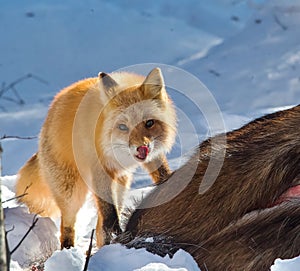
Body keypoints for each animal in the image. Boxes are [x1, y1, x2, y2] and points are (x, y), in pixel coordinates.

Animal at [15, 67, 177, 249]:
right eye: (123, 127)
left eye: (149, 123)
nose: (142, 147)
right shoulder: (99, 166)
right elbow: (109, 213)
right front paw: (116, 232)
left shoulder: (151, 157)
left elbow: (162, 173)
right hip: (72, 192)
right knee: (67, 225)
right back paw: (69, 249)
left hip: (120, 186)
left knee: (100, 227)